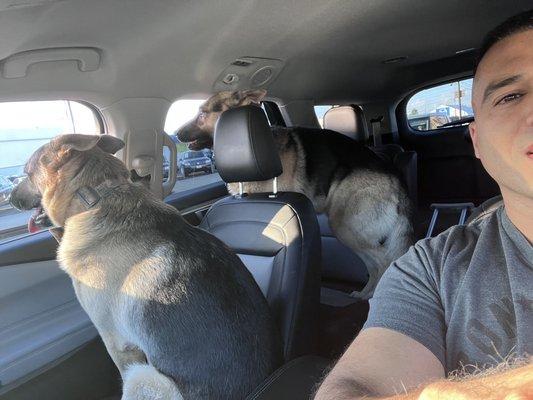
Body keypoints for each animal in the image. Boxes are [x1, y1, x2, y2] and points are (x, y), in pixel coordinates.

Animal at [177, 90, 414, 296]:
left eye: (202, 113)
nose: (177, 134)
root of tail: (396, 177)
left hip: (345, 227)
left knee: (383, 261)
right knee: (375, 265)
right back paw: (365, 294)